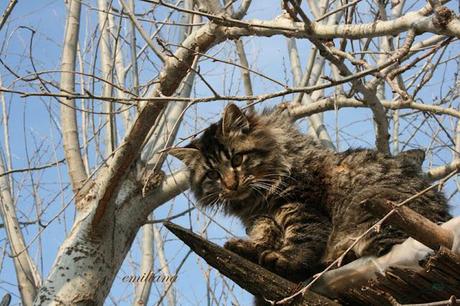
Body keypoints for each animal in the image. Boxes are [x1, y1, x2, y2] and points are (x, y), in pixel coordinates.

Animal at [167, 103, 452, 304]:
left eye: (237, 159)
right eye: (213, 175)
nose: (230, 184)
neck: (257, 199)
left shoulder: (300, 203)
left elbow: (302, 236)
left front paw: (285, 258)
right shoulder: (261, 217)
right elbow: (265, 232)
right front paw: (253, 246)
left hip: (379, 214)